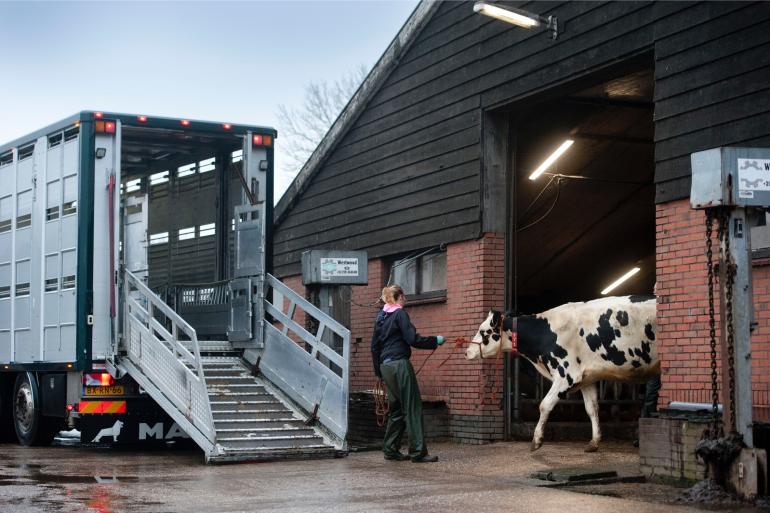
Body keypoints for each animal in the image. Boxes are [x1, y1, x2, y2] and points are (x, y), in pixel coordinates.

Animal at [464, 294, 656, 450]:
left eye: (483, 331)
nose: (467, 352)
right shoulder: (587, 377)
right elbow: (592, 408)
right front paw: (594, 442)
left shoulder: (567, 376)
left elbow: (545, 404)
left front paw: (536, 440)